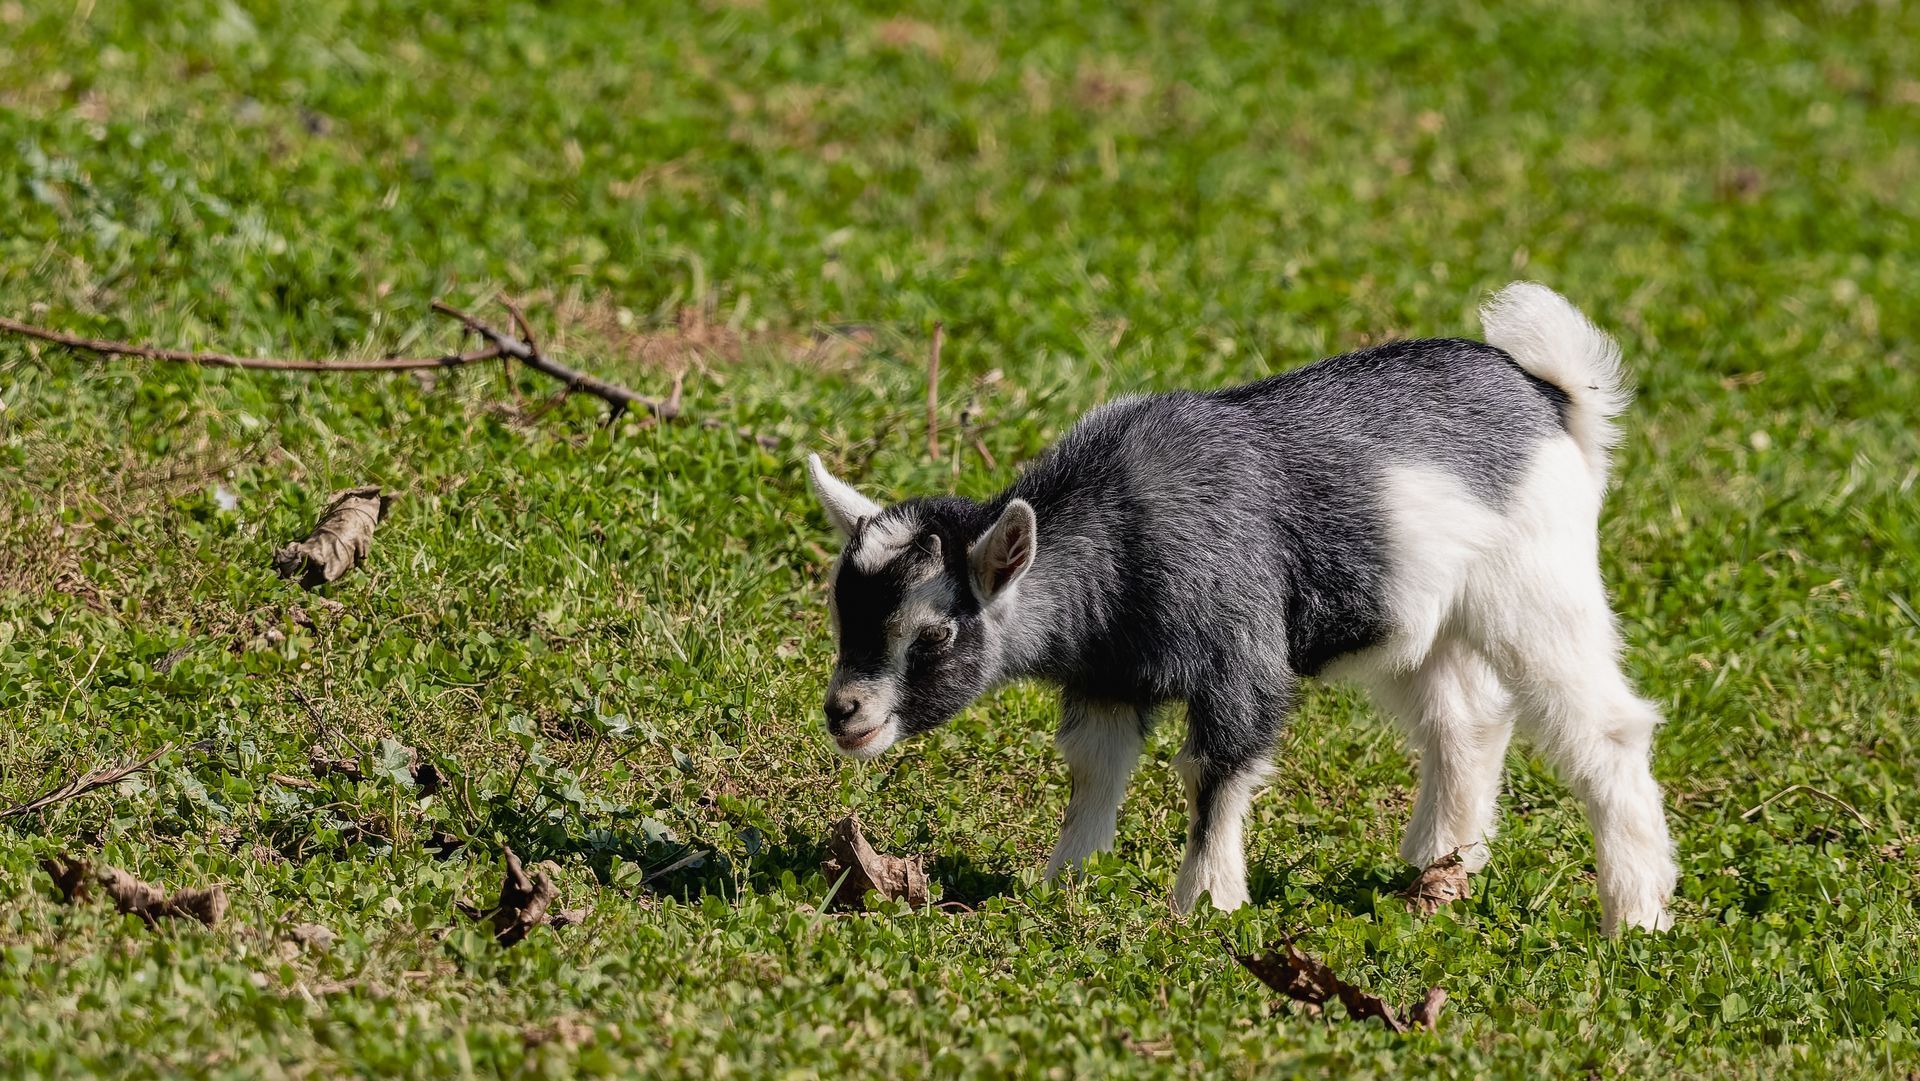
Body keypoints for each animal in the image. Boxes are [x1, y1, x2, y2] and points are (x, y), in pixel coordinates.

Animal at [805, 282, 1676, 933]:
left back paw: (1635, 913)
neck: (1125, 527)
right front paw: (1065, 884)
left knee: (1606, 729)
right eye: (843, 614)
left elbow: (1215, 772)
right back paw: (1436, 871)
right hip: (1419, 622)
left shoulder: (1239, 657)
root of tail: (1549, 398)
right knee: (1466, 721)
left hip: (1539, 588)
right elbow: (1093, 769)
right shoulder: (1109, 676)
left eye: (934, 633)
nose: (845, 712)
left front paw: (1203, 905)